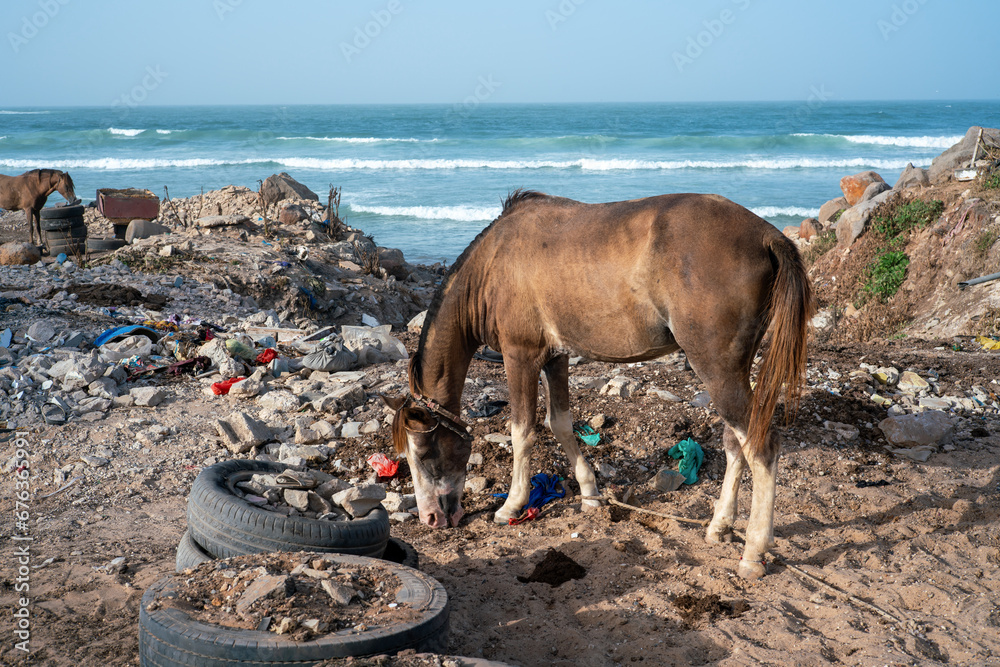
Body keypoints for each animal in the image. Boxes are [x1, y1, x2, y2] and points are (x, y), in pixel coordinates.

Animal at [386, 190, 812, 579]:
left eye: (423, 453)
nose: (429, 518)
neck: (493, 264)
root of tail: (766, 235)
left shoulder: (520, 356)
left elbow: (522, 432)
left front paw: (512, 505)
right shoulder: (555, 357)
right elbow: (560, 424)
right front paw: (590, 492)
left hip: (717, 367)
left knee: (762, 447)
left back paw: (754, 551)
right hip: (732, 368)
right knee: (735, 442)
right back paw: (720, 525)